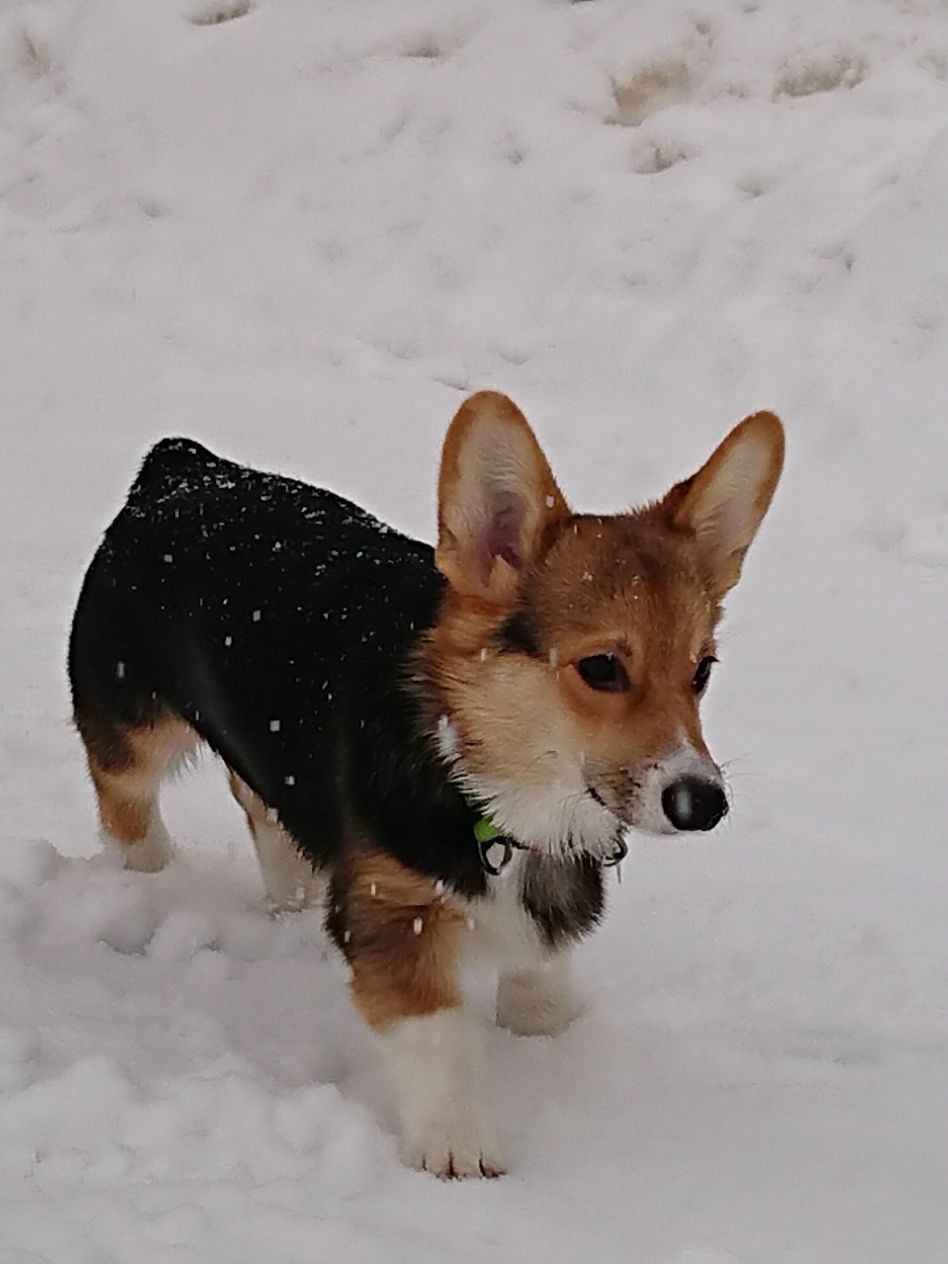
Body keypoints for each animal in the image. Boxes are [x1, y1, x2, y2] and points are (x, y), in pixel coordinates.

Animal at [68, 389, 788, 1178]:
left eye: (702, 670)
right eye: (602, 667)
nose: (704, 804)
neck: (489, 789)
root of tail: (184, 467)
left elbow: (540, 987)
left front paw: (544, 1040)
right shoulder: (396, 913)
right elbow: (438, 1034)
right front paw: (458, 1150)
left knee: (262, 806)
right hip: (130, 725)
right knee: (126, 803)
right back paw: (148, 878)